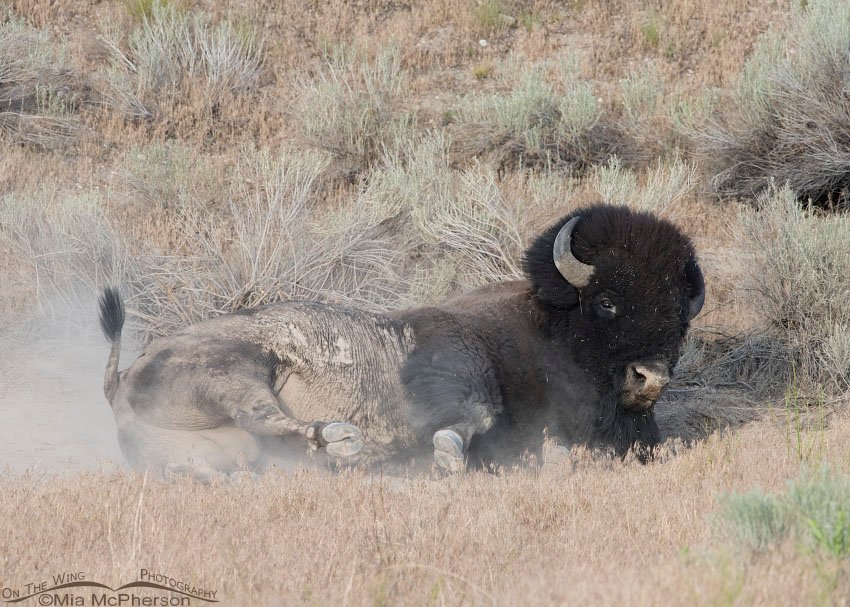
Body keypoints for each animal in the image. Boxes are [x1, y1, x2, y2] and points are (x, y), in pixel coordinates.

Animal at [98, 204, 704, 480]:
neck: (547, 326)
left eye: (681, 317)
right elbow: (476, 415)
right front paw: (447, 454)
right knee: (266, 415)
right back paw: (343, 442)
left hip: (211, 445)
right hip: (237, 370)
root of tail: (122, 382)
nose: (650, 378)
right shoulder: (458, 366)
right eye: (607, 302)